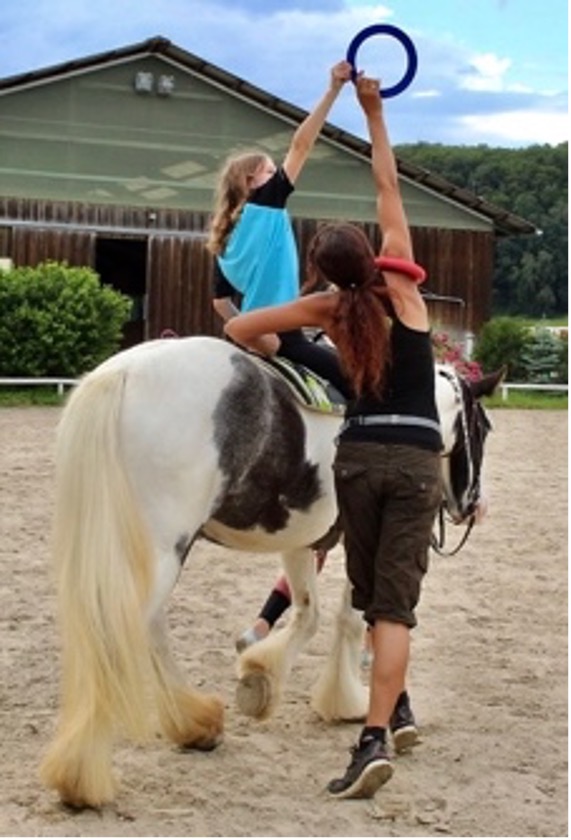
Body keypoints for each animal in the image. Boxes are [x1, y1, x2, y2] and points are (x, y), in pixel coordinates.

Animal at [40, 334, 502, 808]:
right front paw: (355, 702)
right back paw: (83, 774)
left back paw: (194, 724)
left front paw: (263, 679)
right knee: (121, 635)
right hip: (163, 549)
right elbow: (354, 619)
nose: (473, 504)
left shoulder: (302, 541)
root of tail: (123, 373)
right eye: (483, 428)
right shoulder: (358, 535)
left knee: (141, 630)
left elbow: (310, 612)